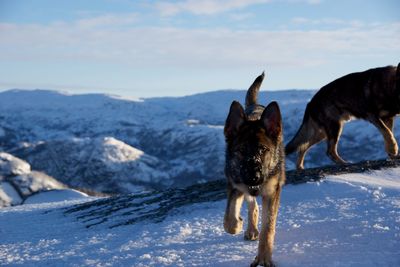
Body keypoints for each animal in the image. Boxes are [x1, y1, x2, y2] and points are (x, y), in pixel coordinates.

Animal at [223, 72, 286, 266]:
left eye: (263, 149)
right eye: (242, 150)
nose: (254, 177)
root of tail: (253, 106)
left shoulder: (272, 192)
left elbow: (268, 229)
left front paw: (264, 258)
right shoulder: (235, 183)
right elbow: (229, 219)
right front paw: (237, 224)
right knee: (251, 203)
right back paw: (250, 228)